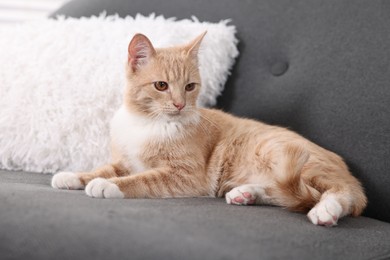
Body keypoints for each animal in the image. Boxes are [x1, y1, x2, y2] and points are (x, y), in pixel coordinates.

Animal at [52, 32, 368, 225]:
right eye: (161, 85)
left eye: (190, 86)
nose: (180, 104)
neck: (149, 122)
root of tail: (344, 167)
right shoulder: (124, 161)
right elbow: (104, 168)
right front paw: (74, 176)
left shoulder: (187, 176)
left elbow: (142, 179)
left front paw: (108, 185)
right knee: (284, 192)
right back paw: (246, 193)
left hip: (286, 155)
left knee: (340, 192)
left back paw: (326, 209)